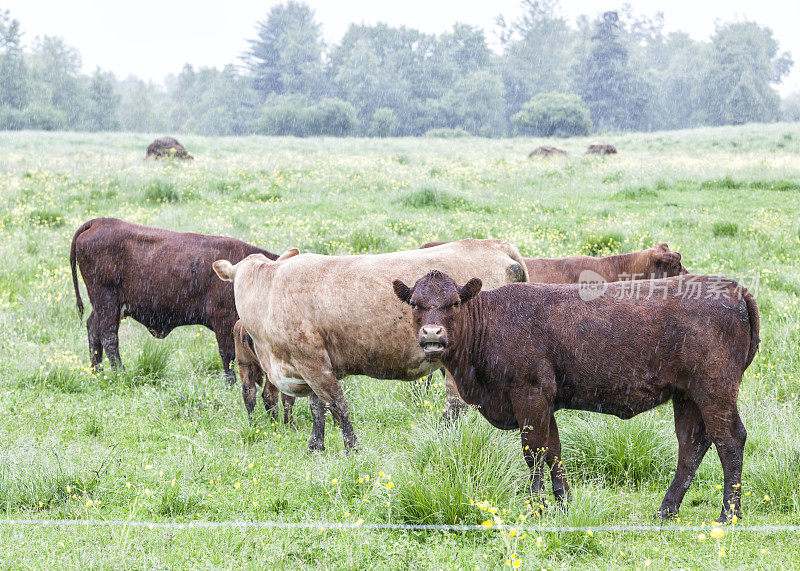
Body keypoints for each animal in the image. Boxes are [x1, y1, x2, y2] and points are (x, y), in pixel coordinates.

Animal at [72, 219, 278, 384]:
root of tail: (99, 222)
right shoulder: (223, 319)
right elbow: (228, 355)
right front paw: (231, 384)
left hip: (103, 307)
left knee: (93, 329)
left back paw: (97, 372)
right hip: (107, 304)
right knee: (109, 336)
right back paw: (119, 374)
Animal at [211, 239, 532, 454]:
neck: (268, 292)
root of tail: (493, 244)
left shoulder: (312, 361)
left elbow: (337, 405)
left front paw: (352, 449)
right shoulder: (313, 365)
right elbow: (317, 407)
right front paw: (316, 447)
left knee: (456, 405)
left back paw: (440, 436)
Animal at [396, 272, 760, 524]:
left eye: (454, 303)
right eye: (415, 303)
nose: (432, 335)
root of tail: (733, 288)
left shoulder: (529, 396)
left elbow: (534, 453)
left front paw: (537, 506)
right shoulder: (545, 404)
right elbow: (554, 451)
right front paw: (563, 503)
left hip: (714, 390)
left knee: (729, 441)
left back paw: (729, 514)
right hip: (687, 397)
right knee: (692, 446)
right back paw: (666, 510)